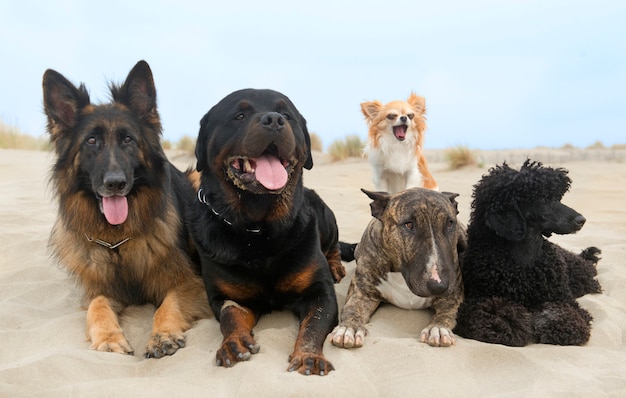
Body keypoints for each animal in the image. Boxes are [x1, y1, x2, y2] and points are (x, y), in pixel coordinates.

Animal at [190, 88, 344, 374]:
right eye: (239, 116)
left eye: (286, 115)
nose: (274, 120)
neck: (259, 230)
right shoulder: (226, 296)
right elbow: (230, 315)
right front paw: (233, 342)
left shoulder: (319, 292)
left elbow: (314, 324)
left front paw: (308, 355)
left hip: (326, 217)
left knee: (334, 246)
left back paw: (336, 265)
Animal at [332, 188, 464, 346]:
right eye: (409, 225)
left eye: (450, 223)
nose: (440, 286)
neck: (400, 273)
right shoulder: (362, 293)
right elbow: (352, 308)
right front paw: (349, 327)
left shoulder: (453, 296)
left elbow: (447, 313)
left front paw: (438, 328)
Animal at [454, 160, 600, 346]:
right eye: (542, 199)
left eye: (557, 198)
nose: (582, 220)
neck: (526, 259)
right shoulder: (478, 299)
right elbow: (494, 312)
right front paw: (507, 326)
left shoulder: (564, 299)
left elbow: (562, 311)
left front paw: (559, 326)